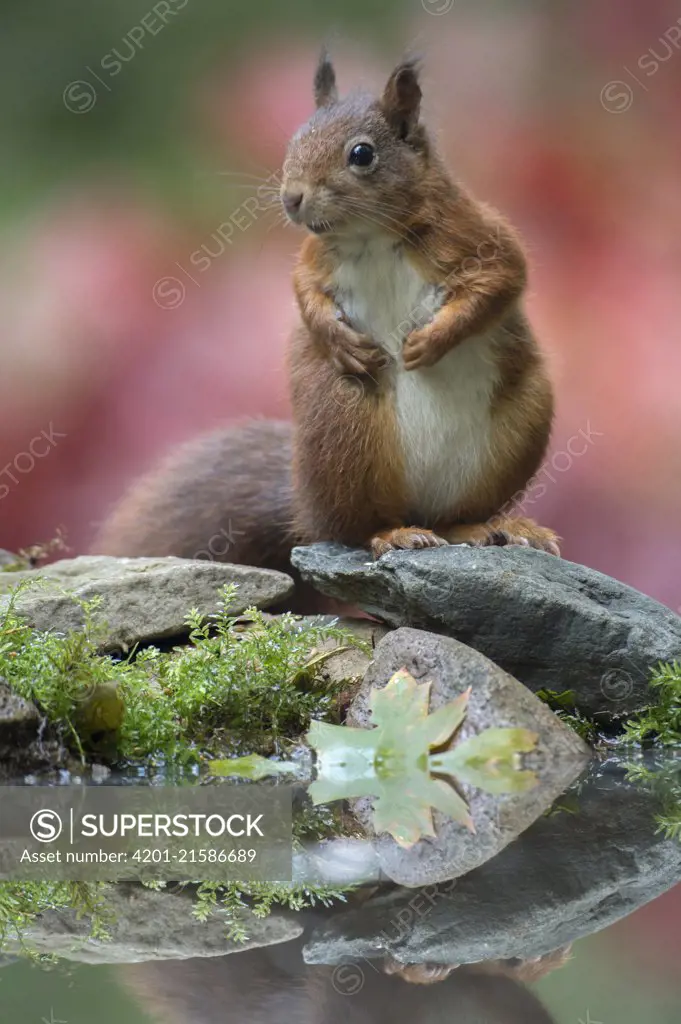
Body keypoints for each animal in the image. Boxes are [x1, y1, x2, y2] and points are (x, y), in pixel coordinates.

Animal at [91, 54, 557, 569]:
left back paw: (494, 527)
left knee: (453, 518)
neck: (371, 236)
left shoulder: (476, 234)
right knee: (351, 528)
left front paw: (429, 341)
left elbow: (502, 278)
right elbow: (304, 292)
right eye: (293, 141)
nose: (291, 198)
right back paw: (393, 534)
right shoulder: (314, 260)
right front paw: (340, 341)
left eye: (362, 154)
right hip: (344, 422)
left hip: (521, 425)